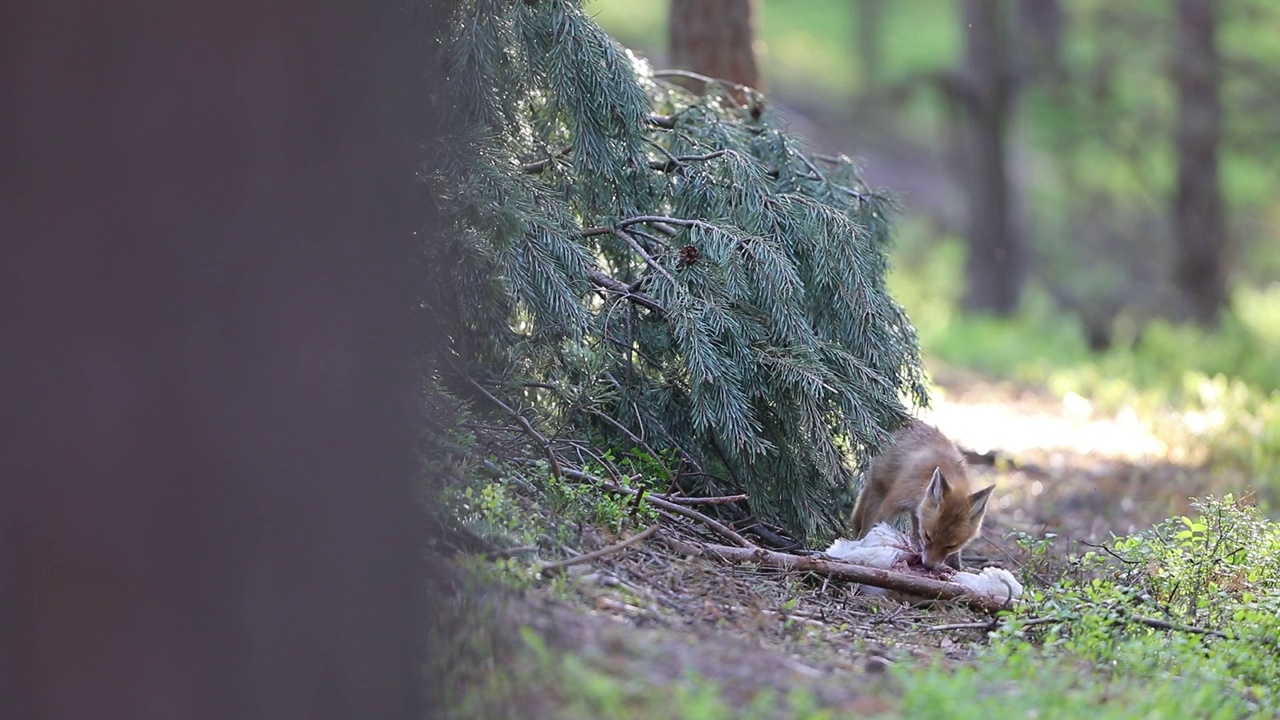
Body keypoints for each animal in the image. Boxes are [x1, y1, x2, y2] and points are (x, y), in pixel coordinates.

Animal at [849, 420, 998, 566]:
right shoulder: (894, 502)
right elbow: (878, 524)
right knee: (863, 520)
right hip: (877, 491)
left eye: (951, 546)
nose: (928, 566)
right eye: (928, 536)